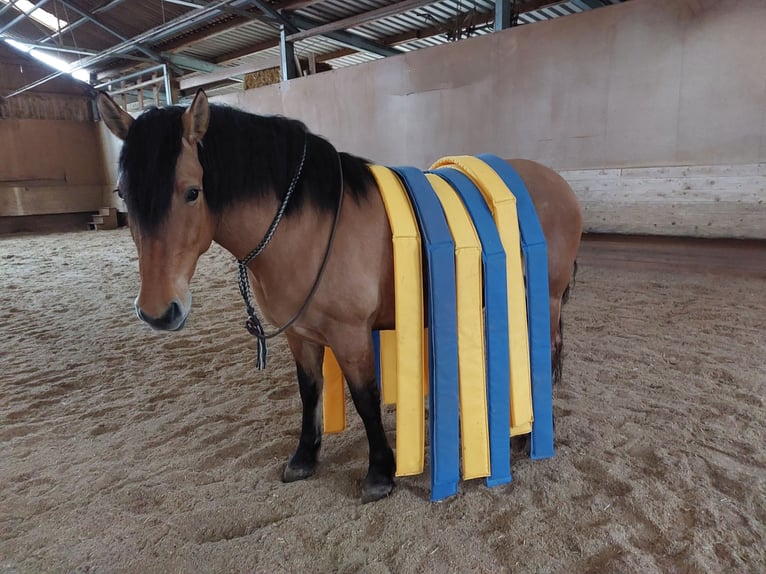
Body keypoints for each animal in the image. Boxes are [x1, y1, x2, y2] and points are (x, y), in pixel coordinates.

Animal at [99, 89, 584, 504]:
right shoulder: (301, 334)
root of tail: (556, 182)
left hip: (544, 298)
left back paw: (528, 436)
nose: (159, 312)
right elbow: (309, 391)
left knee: (544, 354)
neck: (303, 225)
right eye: (123, 193)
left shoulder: (350, 335)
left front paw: (380, 474)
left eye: (192, 191)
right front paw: (304, 458)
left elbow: (366, 399)